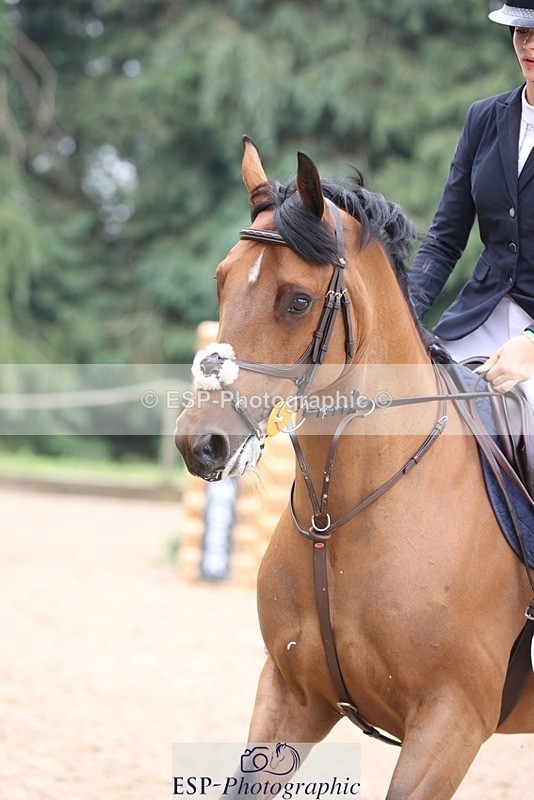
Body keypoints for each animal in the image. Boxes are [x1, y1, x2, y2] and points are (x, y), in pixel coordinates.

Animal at [174, 137, 534, 799]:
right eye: (222, 280)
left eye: (297, 300)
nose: (199, 443)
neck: (337, 518)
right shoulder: (293, 692)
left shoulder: (451, 724)